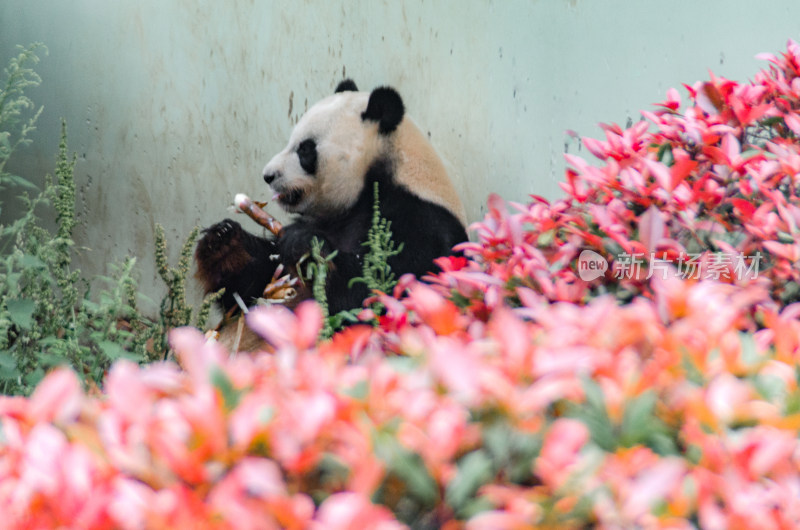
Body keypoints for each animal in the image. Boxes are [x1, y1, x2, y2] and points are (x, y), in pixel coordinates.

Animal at [195, 79, 468, 318]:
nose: (268, 175)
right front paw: (223, 241)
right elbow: (255, 283)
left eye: (305, 149)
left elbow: (376, 289)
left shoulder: (419, 220)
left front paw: (306, 244)